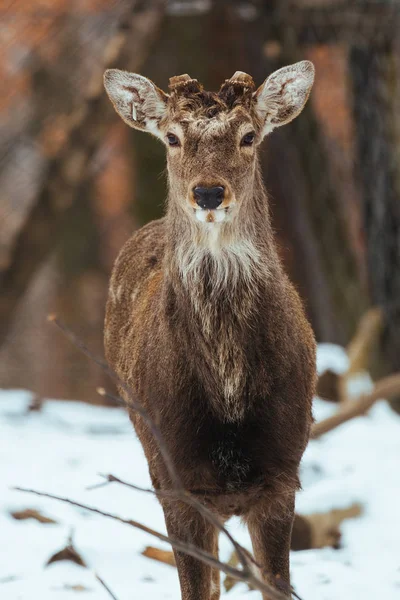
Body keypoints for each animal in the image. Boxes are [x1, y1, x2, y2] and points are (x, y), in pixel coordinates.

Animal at [104, 62, 318, 600]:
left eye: (248, 135)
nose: (208, 192)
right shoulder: (176, 483)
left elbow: (276, 585)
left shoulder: (282, 477)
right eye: (172, 137)